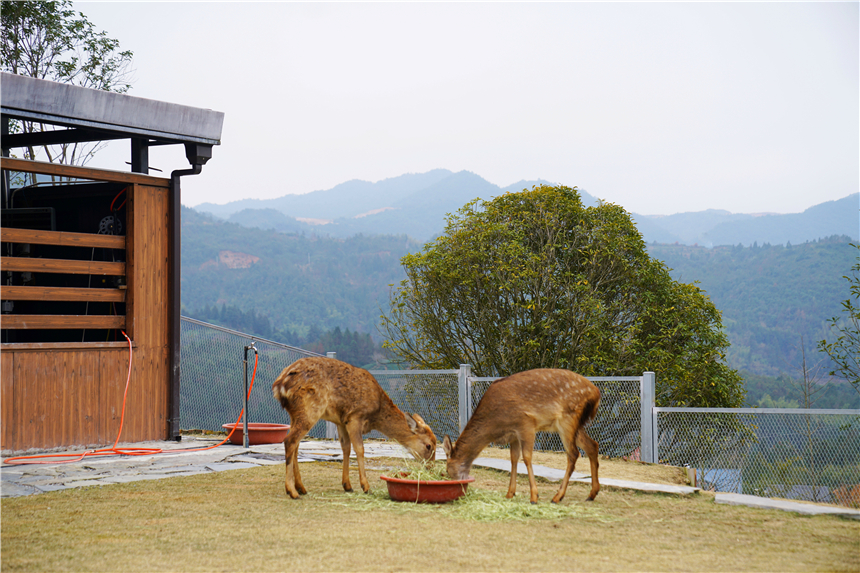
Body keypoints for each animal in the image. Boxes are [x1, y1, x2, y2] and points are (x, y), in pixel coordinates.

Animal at [272, 356, 436, 498]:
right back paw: (292, 491)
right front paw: (366, 486)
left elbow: (346, 448)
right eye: (428, 446)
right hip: (310, 409)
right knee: (290, 440)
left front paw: (347, 485)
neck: (375, 414)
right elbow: (360, 449)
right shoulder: (355, 417)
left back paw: (301, 487)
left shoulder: (341, 421)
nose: (431, 468)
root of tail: (279, 385)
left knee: (296, 444)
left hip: (295, 414)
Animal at [444, 368, 596, 502]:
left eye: (447, 470)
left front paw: (534, 497)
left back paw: (557, 497)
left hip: (567, 418)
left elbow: (527, 457)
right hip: (573, 424)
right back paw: (591, 494)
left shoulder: (526, 423)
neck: (495, 424)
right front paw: (510, 493)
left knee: (573, 453)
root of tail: (596, 393)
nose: (459, 486)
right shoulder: (513, 434)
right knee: (592, 445)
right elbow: (513, 459)